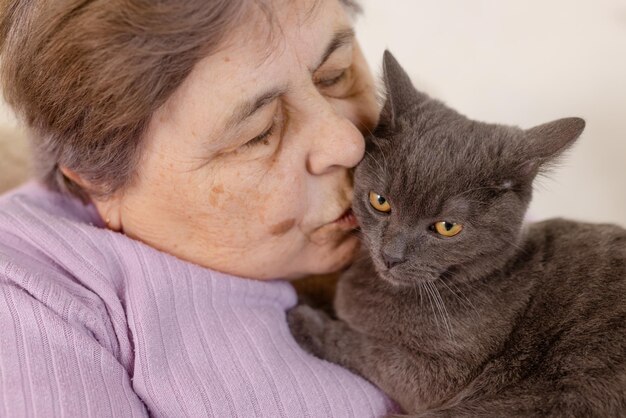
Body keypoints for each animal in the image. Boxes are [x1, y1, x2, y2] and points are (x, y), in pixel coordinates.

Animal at [288, 50, 624, 416]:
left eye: (447, 227)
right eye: (380, 201)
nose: (391, 255)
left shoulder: (441, 373)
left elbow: (369, 349)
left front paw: (307, 320)